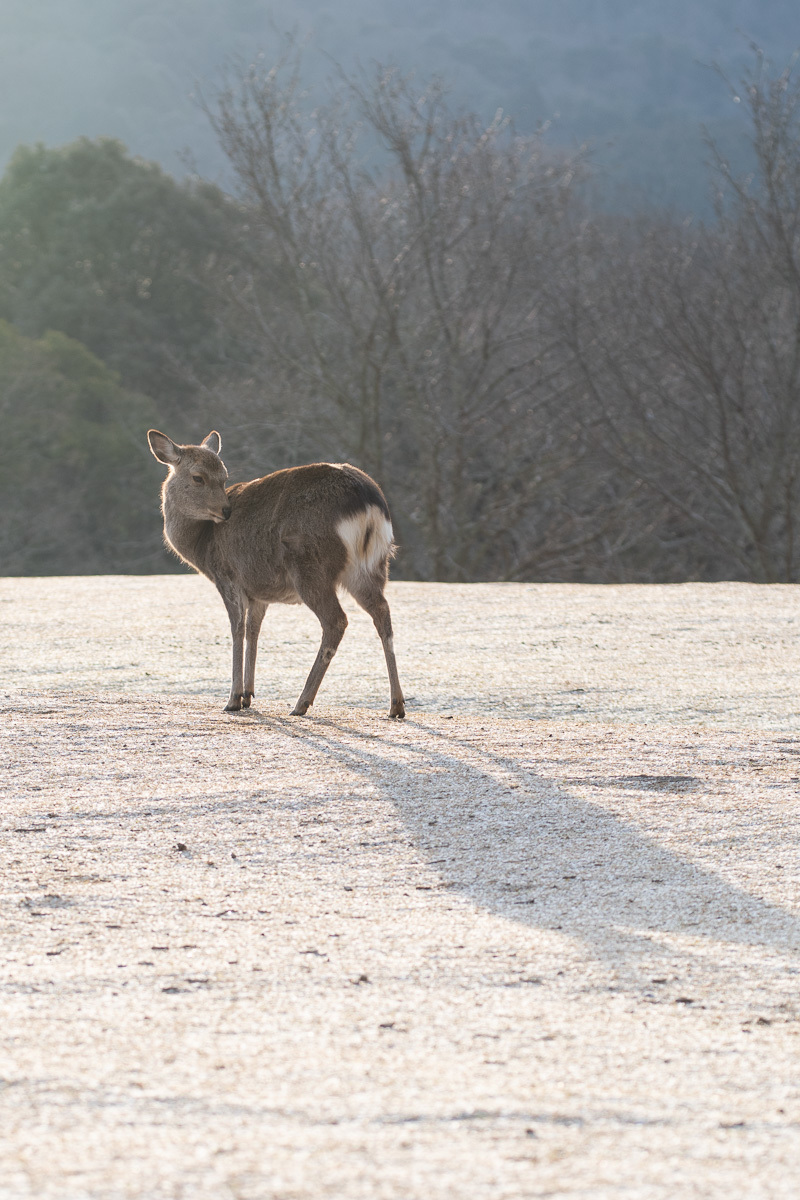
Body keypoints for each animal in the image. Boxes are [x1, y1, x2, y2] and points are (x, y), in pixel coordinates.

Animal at [146, 429, 402, 715]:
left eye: (224, 477)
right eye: (198, 477)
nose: (226, 511)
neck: (202, 545)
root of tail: (367, 500)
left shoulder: (228, 576)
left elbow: (237, 629)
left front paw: (233, 699)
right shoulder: (259, 592)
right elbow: (253, 630)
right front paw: (248, 694)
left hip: (310, 566)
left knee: (336, 620)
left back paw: (302, 702)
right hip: (372, 566)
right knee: (382, 612)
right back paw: (396, 704)